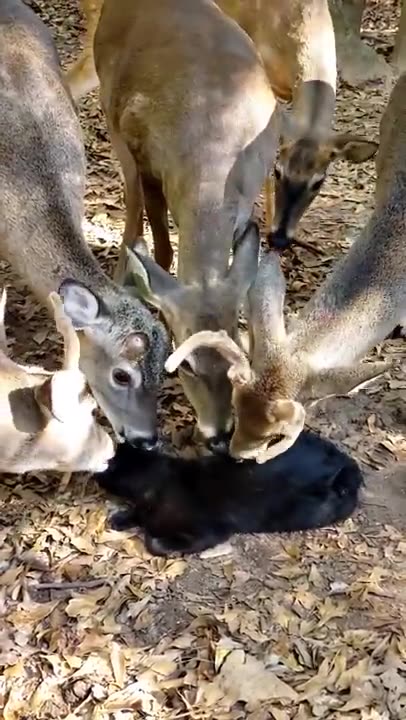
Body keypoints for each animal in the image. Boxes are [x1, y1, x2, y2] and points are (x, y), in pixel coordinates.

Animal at [93, 0, 279, 450]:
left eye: (239, 355)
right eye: (186, 365)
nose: (218, 435)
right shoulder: (147, 161)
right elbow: (160, 248)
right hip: (112, 112)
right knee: (131, 203)